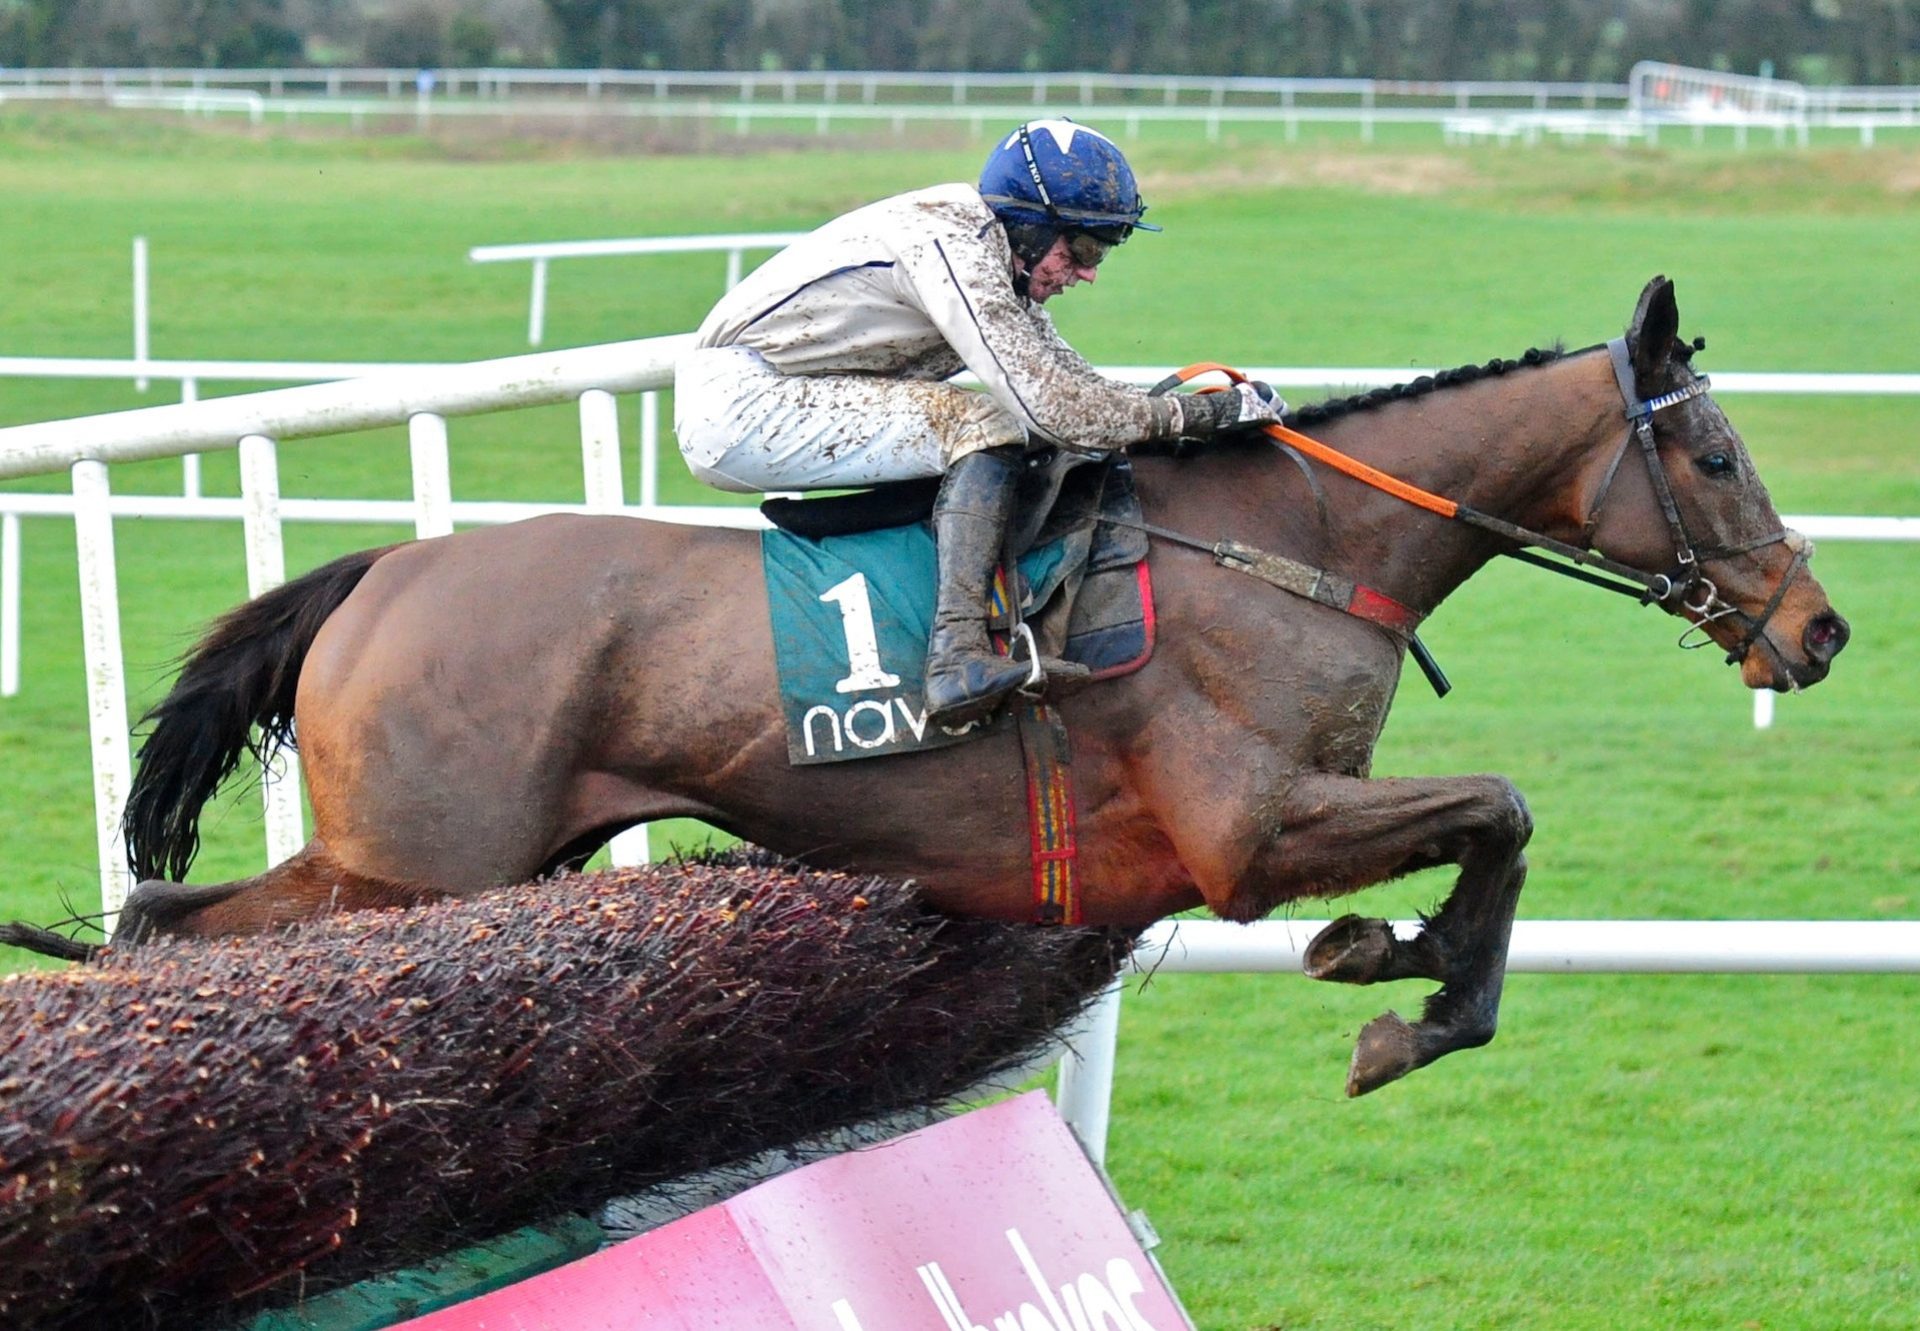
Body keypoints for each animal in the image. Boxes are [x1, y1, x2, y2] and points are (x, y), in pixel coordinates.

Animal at [3, 274, 1858, 1098]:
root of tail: (381, 570)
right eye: (1712, 453)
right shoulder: (1246, 832)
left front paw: (1390, 961)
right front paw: (1409, 992)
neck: (1300, 538)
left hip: (447, 863)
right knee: (189, 942)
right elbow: (1503, 810)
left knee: (165, 926)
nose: (1823, 630)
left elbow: (1495, 827)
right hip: (419, 866)